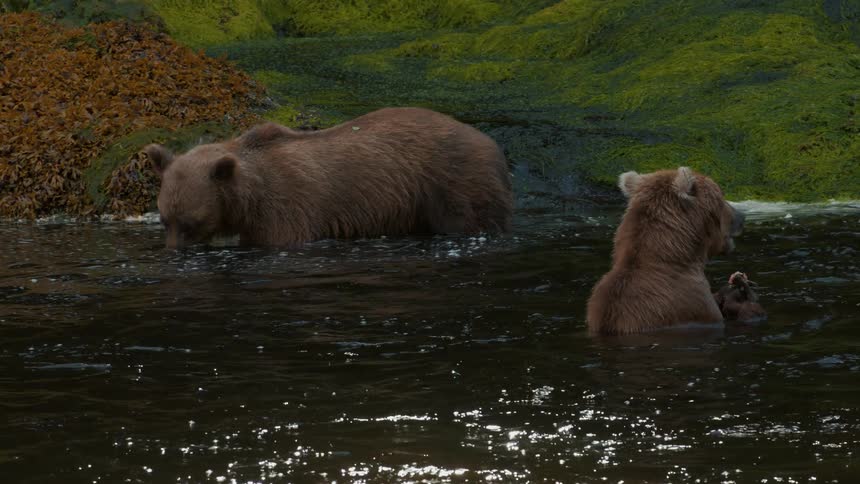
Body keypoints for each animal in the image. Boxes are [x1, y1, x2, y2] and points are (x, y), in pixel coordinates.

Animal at [141, 107, 513, 249]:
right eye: (164, 219)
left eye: (192, 222)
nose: (174, 251)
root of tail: (491, 142)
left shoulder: (286, 208)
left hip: (452, 182)